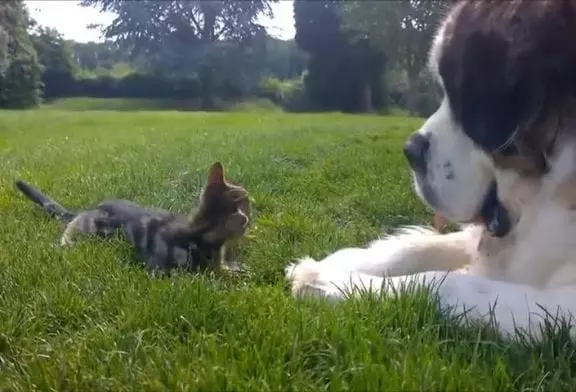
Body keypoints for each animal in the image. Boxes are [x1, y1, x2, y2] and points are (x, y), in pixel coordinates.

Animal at [14, 162, 250, 272]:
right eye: (244, 204)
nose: (250, 216)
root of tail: (89, 209)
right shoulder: (160, 270)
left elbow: (226, 269)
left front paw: (236, 269)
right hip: (83, 231)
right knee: (66, 236)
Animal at [286, 0, 576, 340]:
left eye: (466, 99)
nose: (410, 151)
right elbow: (416, 247)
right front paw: (329, 265)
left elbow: (443, 284)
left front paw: (333, 283)